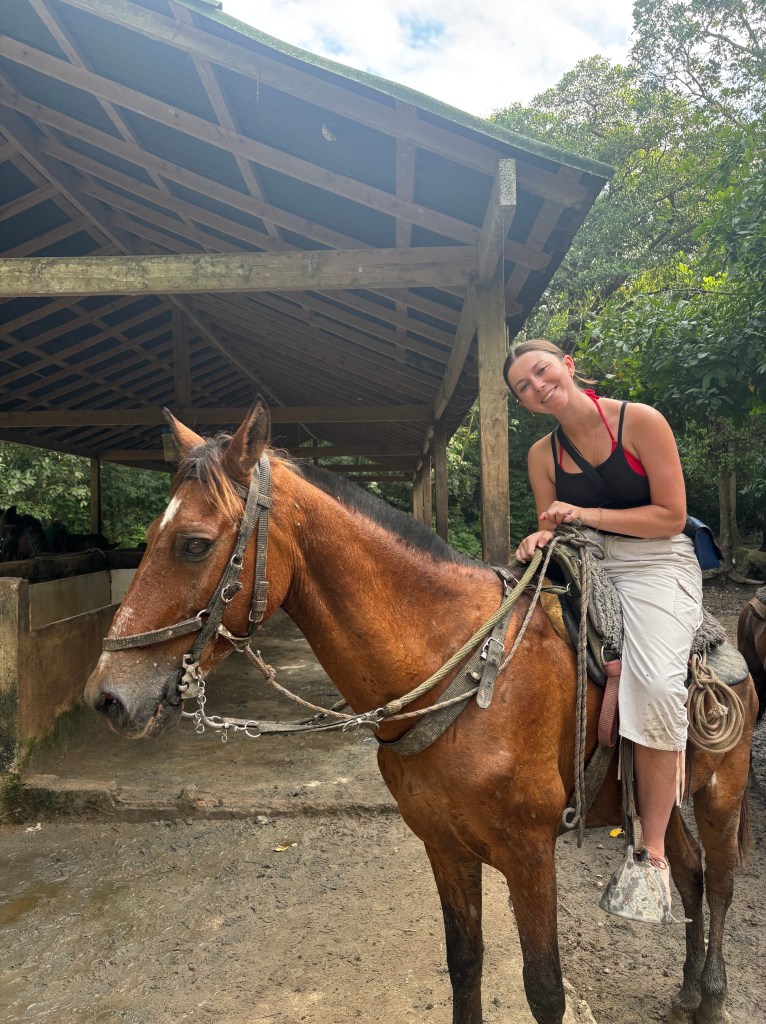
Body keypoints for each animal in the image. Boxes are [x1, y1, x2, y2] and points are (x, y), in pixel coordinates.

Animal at [85, 402, 758, 1024]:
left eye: (195, 545)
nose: (106, 697)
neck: (472, 674)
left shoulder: (530, 855)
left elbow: (544, 989)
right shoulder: (444, 846)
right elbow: (464, 964)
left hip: (721, 792)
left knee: (721, 883)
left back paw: (712, 997)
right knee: (690, 875)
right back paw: (685, 993)